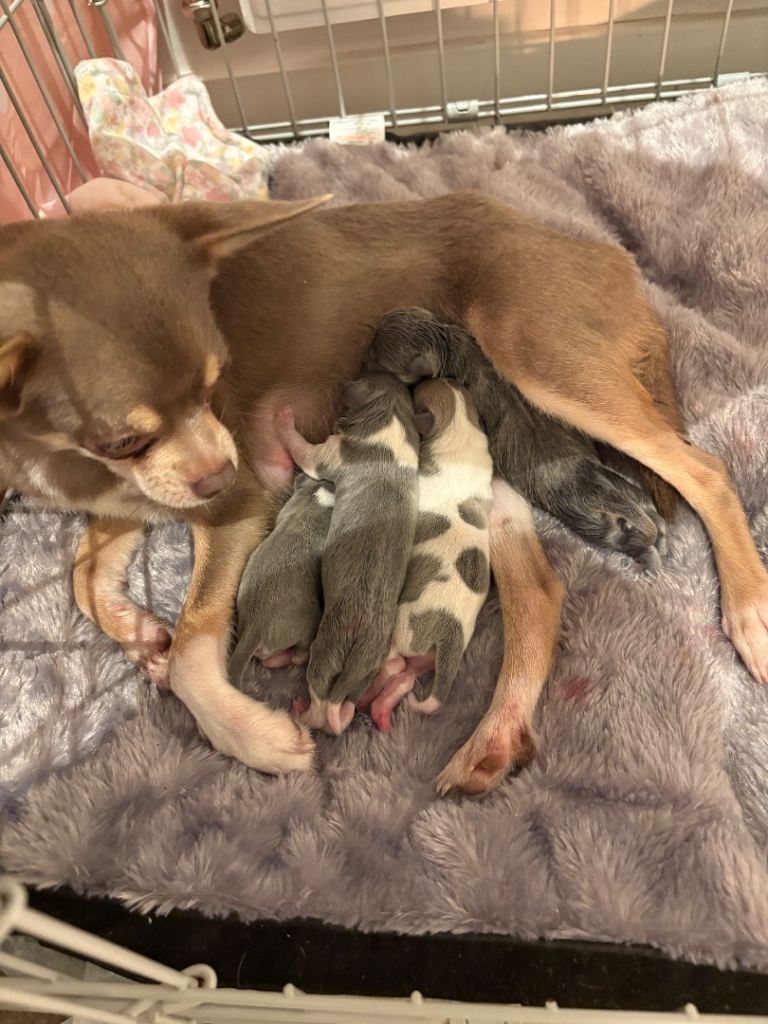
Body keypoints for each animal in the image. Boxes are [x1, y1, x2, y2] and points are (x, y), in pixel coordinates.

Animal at [275, 372, 419, 735]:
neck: (392, 420)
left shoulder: (327, 454)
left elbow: (302, 449)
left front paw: (284, 418)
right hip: (365, 674)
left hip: (324, 658)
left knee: (322, 708)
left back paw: (301, 711)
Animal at [357, 378, 494, 732]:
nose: (421, 377)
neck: (458, 429)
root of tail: (450, 639)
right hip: (424, 660)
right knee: (404, 678)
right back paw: (378, 708)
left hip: (404, 628)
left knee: (393, 663)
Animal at [368, 307, 667, 570]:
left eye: (376, 354)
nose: (363, 356)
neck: (451, 344)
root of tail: (599, 486)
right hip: (625, 490)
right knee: (644, 506)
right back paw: (660, 536)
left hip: (586, 516)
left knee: (617, 538)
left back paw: (648, 556)